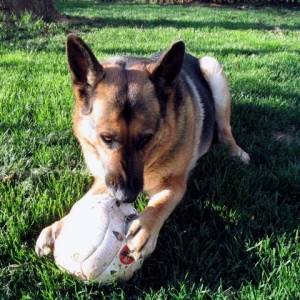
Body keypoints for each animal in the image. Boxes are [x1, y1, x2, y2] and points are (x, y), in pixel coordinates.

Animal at [36, 33, 250, 262]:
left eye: (146, 138)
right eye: (106, 138)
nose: (126, 196)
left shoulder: (174, 183)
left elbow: (161, 203)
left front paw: (145, 228)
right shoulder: (105, 178)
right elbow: (81, 203)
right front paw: (59, 226)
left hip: (214, 71)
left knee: (226, 129)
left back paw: (236, 152)